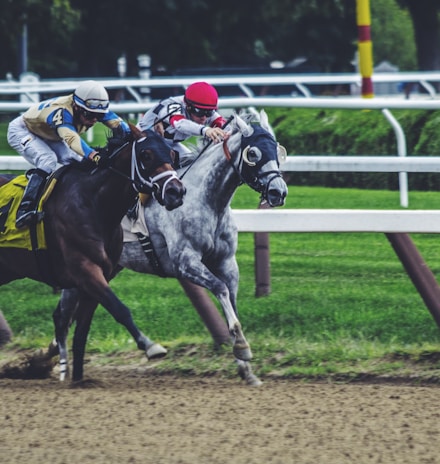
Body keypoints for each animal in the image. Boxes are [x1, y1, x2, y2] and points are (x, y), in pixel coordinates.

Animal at [0, 123, 186, 380]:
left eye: (172, 154)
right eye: (146, 155)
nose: (176, 192)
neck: (94, 202)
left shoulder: (99, 275)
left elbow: (82, 332)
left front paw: (78, 378)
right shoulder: (85, 270)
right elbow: (120, 309)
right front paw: (151, 346)